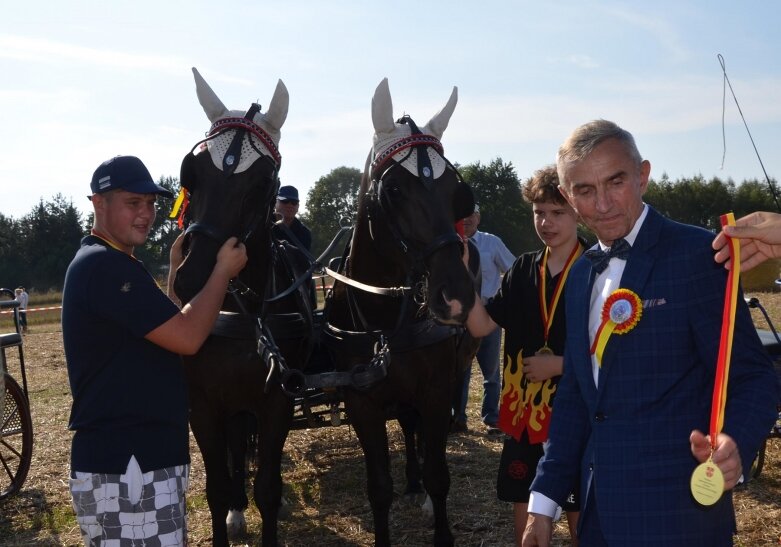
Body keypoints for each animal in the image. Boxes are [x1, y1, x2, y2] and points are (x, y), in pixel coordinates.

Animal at [175, 68, 312, 547]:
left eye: (262, 182)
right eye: (192, 171)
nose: (194, 278)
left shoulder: (278, 402)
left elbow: (268, 487)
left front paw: (271, 501)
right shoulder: (202, 406)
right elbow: (217, 487)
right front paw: (230, 510)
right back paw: (237, 508)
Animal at [322, 79, 476, 544]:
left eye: (457, 193)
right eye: (393, 191)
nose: (457, 296)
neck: (387, 321)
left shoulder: (437, 389)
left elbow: (439, 474)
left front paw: (438, 521)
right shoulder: (361, 403)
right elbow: (378, 487)